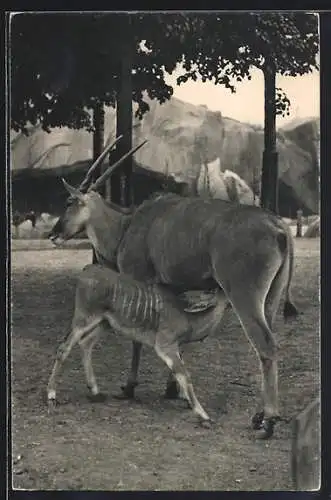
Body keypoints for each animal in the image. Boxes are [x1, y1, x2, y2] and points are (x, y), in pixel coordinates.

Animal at [50, 137, 300, 438]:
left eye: (69, 201)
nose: (53, 234)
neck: (128, 225)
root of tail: (279, 227)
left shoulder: (139, 279)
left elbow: (137, 338)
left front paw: (130, 387)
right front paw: (174, 391)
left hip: (244, 296)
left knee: (266, 345)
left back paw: (269, 421)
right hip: (270, 300)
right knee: (268, 345)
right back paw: (259, 414)